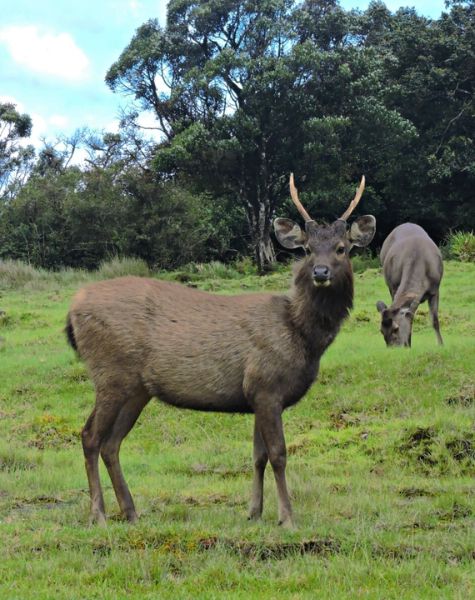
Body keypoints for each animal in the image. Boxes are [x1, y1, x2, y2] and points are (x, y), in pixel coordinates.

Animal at [66, 173, 376, 524]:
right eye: (308, 249)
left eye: (341, 248)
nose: (320, 273)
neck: (301, 336)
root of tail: (72, 310)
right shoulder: (267, 386)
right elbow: (279, 455)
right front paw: (286, 517)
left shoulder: (256, 394)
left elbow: (258, 456)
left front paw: (254, 512)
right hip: (110, 374)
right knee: (90, 436)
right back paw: (99, 514)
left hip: (136, 388)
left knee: (111, 443)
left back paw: (131, 512)